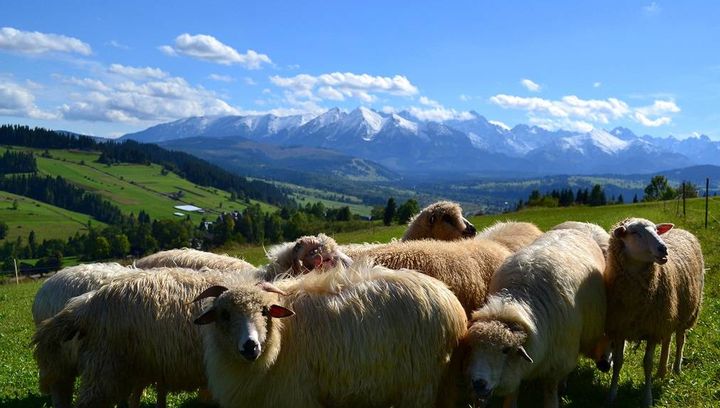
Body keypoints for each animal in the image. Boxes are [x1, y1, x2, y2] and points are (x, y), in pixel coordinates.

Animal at [194, 262, 470, 408]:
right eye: (224, 315)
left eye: (265, 311)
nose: (250, 346)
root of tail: (448, 297)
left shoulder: (293, 395)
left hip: (420, 384)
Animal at [462, 230, 608, 408]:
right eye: (472, 347)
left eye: (505, 350)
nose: (478, 384)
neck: (518, 297)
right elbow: (513, 392)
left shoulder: (557, 362)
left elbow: (550, 391)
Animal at [600, 218, 704, 406]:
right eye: (634, 232)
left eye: (656, 230)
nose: (663, 248)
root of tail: (683, 230)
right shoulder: (620, 328)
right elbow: (618, 362)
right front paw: (611, 395)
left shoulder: (652, 330)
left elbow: (647, 363)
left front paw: (647, 398)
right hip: (668, 314)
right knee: (667, 340)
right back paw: (662, 371)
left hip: (687, 312)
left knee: (680, 340)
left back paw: (676, 368)